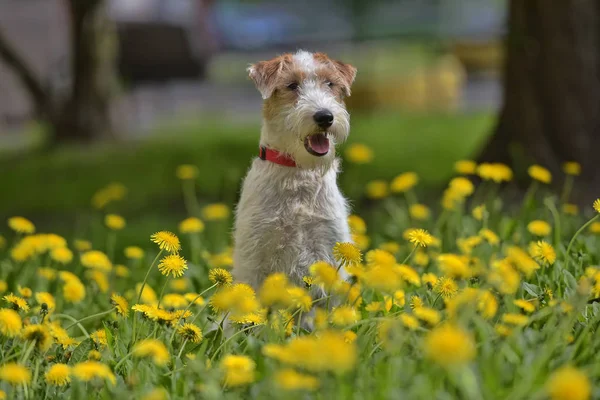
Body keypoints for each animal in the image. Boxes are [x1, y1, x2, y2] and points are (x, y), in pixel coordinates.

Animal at [232, 51, 356, 292]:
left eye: (330, 83)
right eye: (291, 85)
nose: (325, 117)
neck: (299, 173)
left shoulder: (329, 248)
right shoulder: (253, 258)